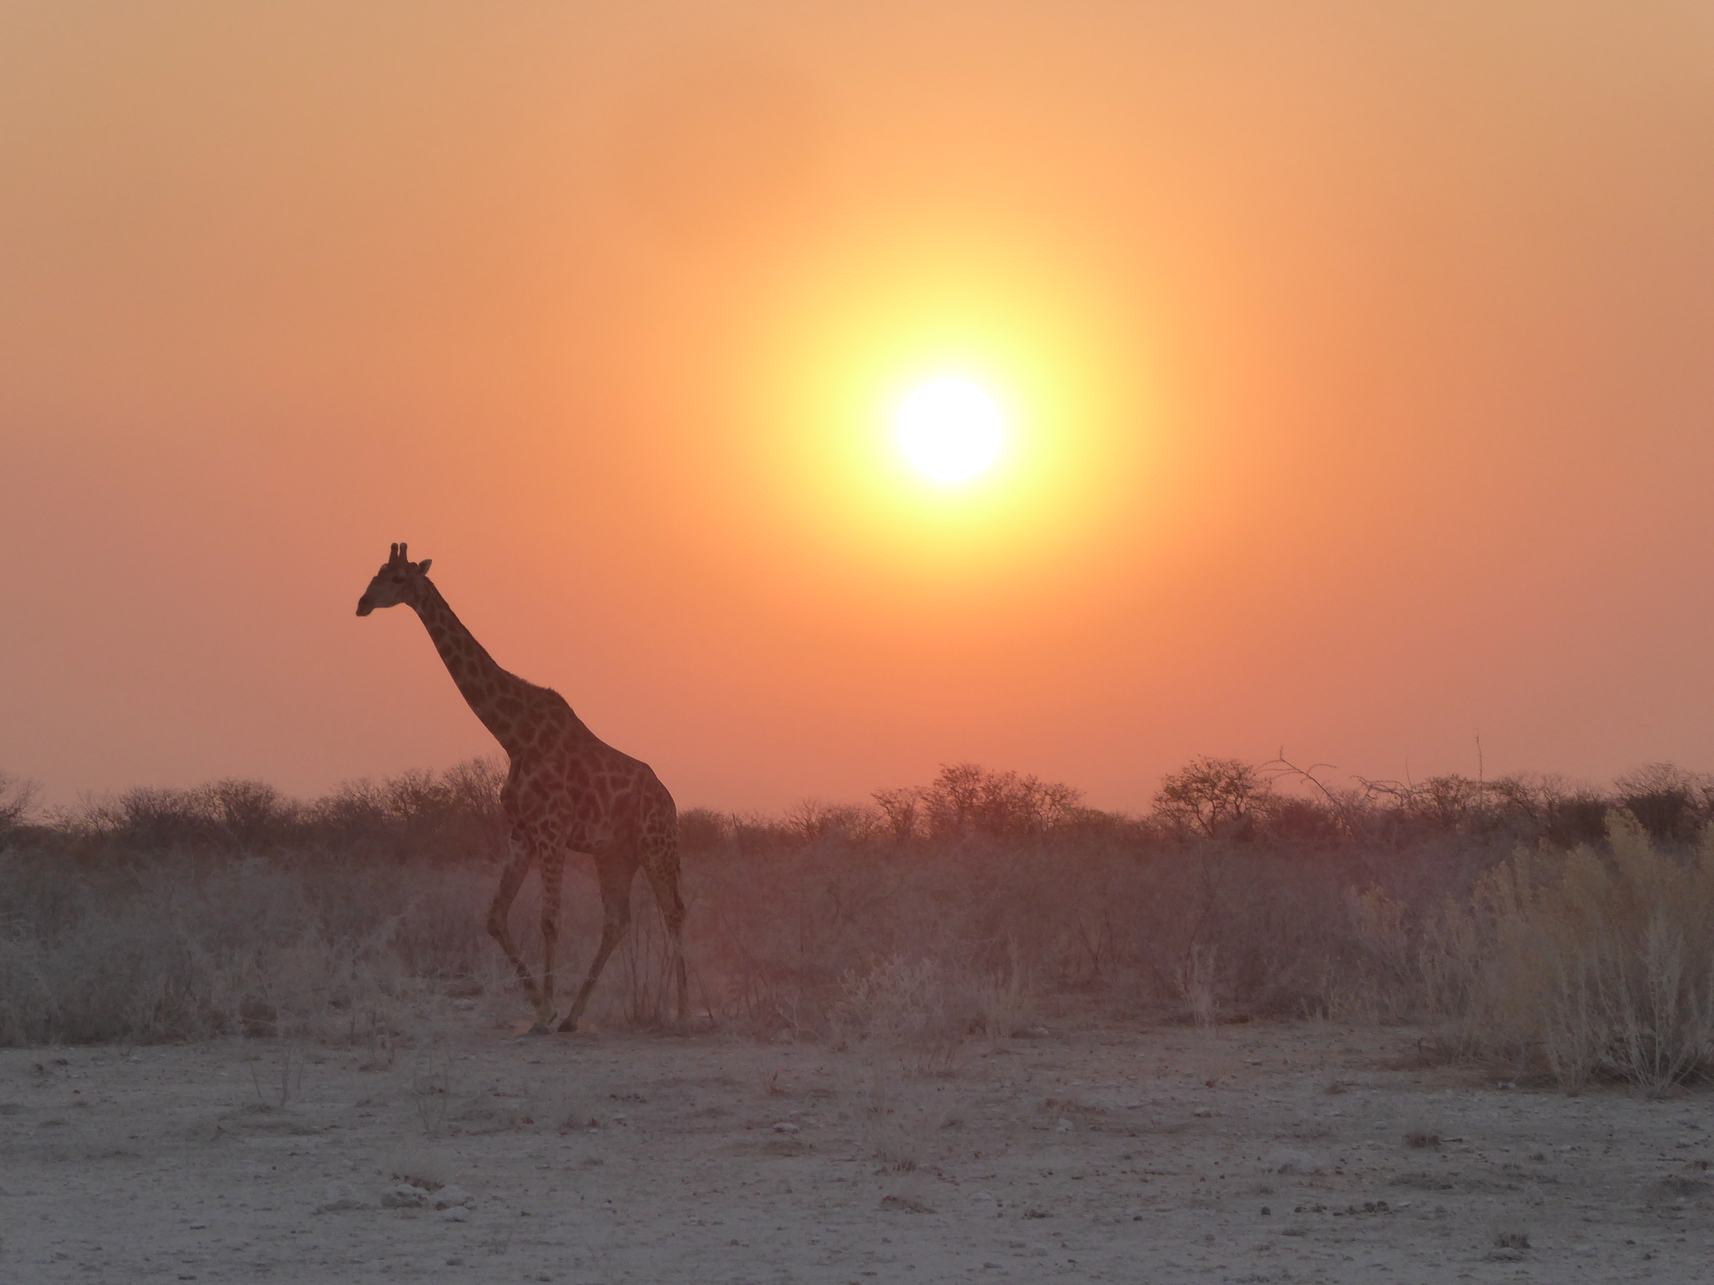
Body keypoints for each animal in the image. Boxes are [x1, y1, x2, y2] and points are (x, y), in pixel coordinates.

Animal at [356, 544, 689, 1034]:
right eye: (376, 572)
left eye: (398, 578)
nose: (362, 603)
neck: (513, 735)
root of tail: (670, 800)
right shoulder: (521, 833)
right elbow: (496, 917)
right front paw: (544, 1009)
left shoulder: (551, 831)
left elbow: (549, 920)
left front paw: (543, 1013)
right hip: (615, 853)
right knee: (617, 920)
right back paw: (574, 1016)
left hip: (655, 845)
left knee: (673, 912)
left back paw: (686, 1010)